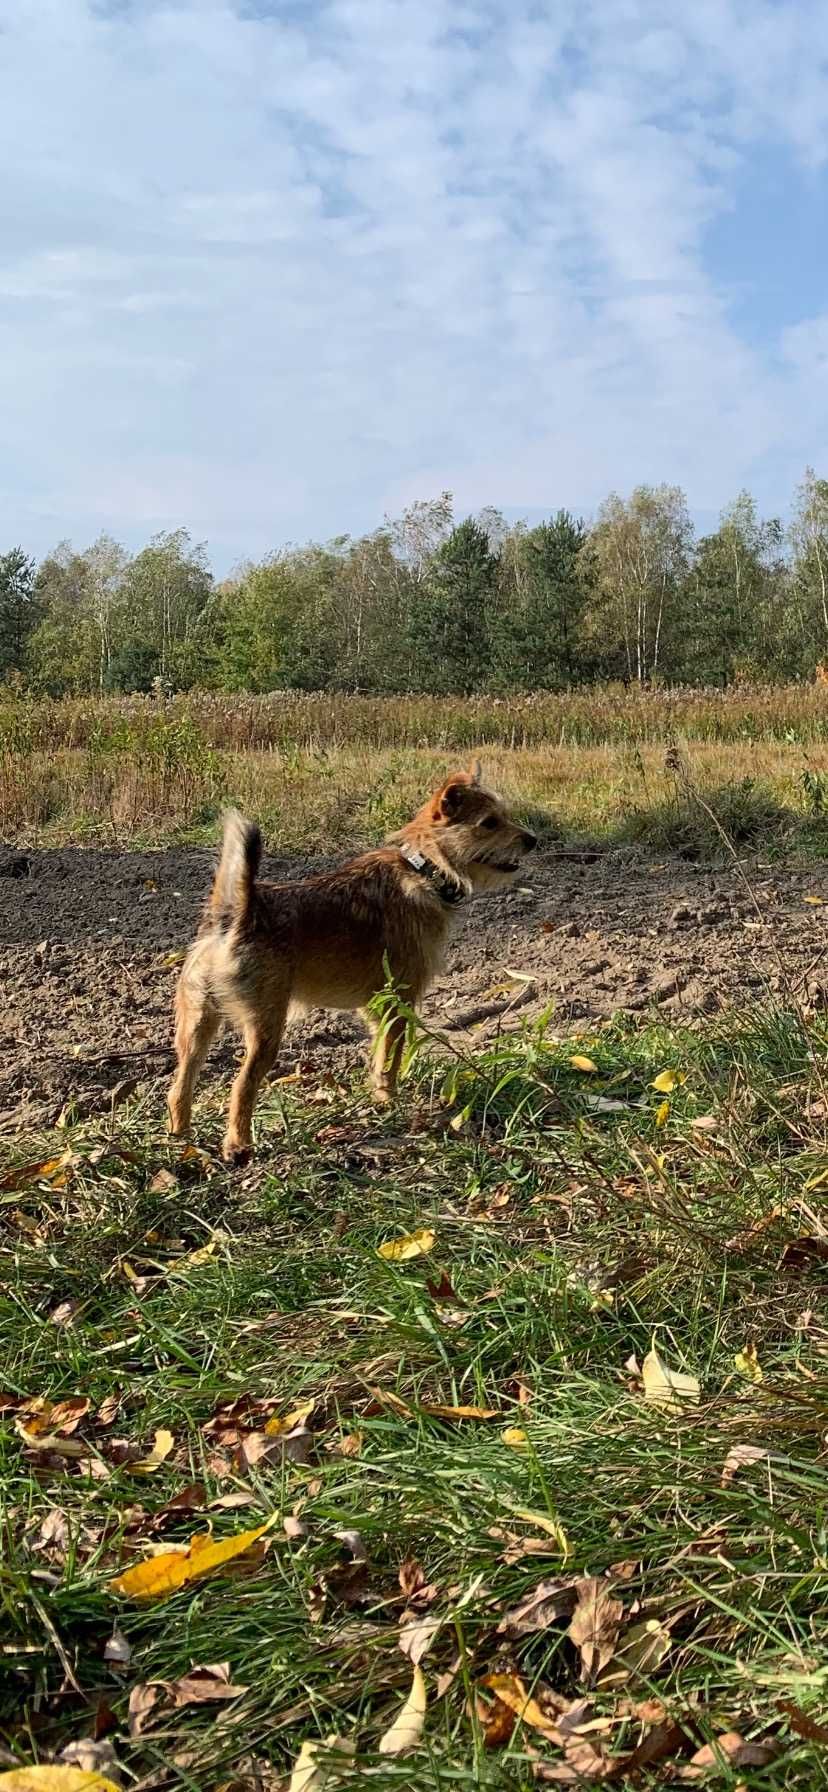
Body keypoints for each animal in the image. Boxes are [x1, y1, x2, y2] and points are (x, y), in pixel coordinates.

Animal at [166, 763, 537, 1168]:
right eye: (489, 823)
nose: (532, 840)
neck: (423, 868)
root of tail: (235, 915)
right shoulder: (399, 1002)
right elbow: (391, 1058)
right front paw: (390, 1100)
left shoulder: (376, 1006)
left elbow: (378, 1054)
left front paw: (377, 1094)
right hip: (265, 1028)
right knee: (241, 1086)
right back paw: (238, 1146)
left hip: (196, 1027)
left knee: (180, 1086)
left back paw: (180, 1138)